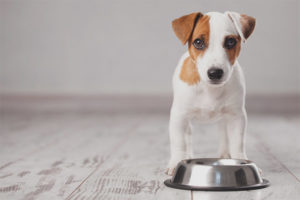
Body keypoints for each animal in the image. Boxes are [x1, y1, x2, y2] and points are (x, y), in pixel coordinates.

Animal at [166, 11, 255, 175]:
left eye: (230, 42)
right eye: (198, 42)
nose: (215, 73)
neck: (210, 89)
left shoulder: (237, 117)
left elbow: (237, 142)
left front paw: (241, 160)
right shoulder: (179, 116)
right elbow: (179, 142)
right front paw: (176, 163)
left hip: (225, 119)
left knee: (223, 133)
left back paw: (225, 153)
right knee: (188, 137)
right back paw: (188, 155)